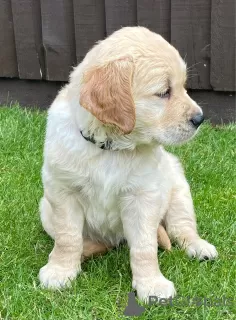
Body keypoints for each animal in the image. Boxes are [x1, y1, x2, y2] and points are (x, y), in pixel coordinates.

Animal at [38, 26, 218, 300]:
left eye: (183, 86)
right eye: (164, 92)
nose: (200, 118)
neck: (111, 148)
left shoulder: (143, 196)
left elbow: (144, 246)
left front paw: (152, 285)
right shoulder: (62, 191)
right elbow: (67, 237)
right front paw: (60, 271)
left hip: (178, 189)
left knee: (182, 228)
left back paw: (200, 247)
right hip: (45, 210)